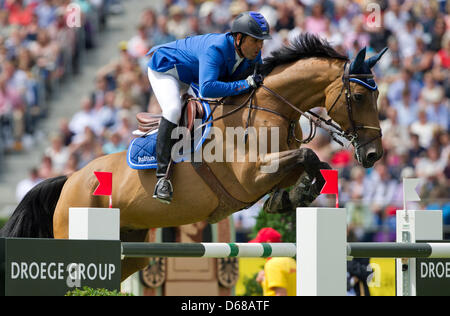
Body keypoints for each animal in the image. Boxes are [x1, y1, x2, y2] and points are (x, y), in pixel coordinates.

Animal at [0, 35, 386, 282]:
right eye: (357, 96)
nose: (373, 154)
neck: (270, 108)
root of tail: (71, 179)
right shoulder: (249, 177)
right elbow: (306, 153)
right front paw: (296, 193)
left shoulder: (273, 168)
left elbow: (313, 165)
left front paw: (292, 196)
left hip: (133, 247)